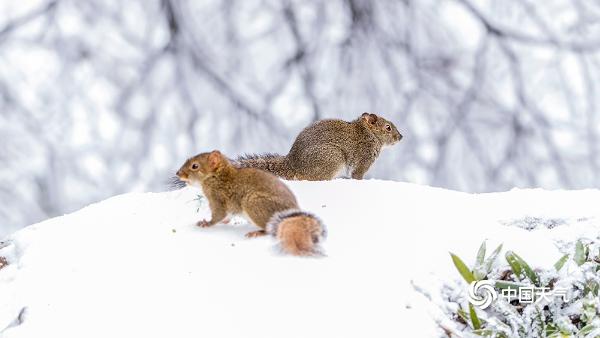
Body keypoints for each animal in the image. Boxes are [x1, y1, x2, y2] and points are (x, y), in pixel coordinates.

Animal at [177, 151, 328, 256]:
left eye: (195, 166)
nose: (178, 173)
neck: (217, 176)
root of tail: (289, 215)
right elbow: (227, 217)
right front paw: (224, 222)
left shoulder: (217, 199)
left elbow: (218, 215)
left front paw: (206, 223)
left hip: (253, 203)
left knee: (269, 229)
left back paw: (256, 233)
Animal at [237, 112, 400, 181]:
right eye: (388, 127)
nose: (401, 137)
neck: (369, 133)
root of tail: (292, 164)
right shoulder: (364, 157)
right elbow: (357, 174)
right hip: (333, 157)